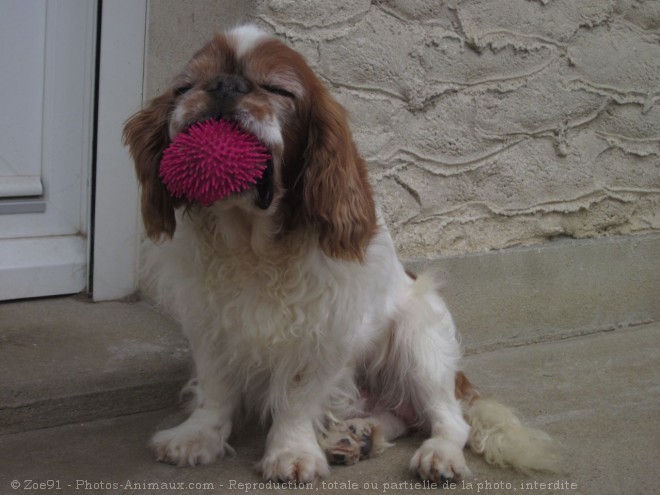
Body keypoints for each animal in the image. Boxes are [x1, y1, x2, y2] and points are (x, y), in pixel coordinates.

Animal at [124, 25, 556, 482]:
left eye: (277, 89)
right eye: (185, 87)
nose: (225, 85)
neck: (251, 243)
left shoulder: (324, 328)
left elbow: (296, 397)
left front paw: (292, 452)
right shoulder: (209, 321)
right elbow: (216, 388)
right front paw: (197, 437)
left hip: (420, 338)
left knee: (450, 420)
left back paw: (438, 455)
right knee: (398, 419)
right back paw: (355, 437)